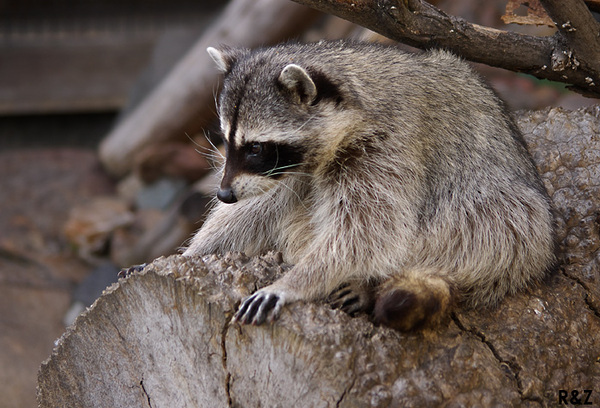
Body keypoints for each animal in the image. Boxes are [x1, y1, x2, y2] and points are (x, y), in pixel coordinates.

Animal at [182, 39, 552, 332]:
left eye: (256, 148)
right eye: (226, 141)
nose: (224, 194)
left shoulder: (388, 146)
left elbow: (369, 232)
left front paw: (295, 281)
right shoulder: (292, 169)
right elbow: (256, 208)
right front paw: (197, 250)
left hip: (508, 217)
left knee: (489, 227)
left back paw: (370, 284)